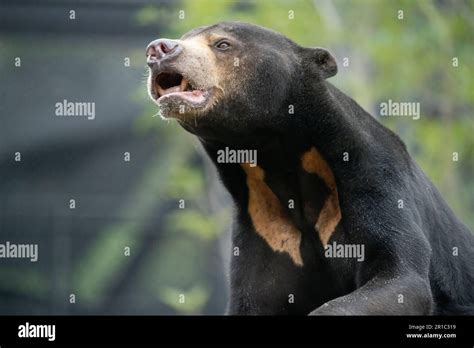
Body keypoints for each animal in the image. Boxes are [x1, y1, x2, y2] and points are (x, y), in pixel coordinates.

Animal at [144, 21, 474, 316]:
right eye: (184, 36)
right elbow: (255, 299)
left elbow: (401, 277)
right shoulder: (265, 227)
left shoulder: (375, 177)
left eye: (222, 44)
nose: (158, 49)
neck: (280, 155)